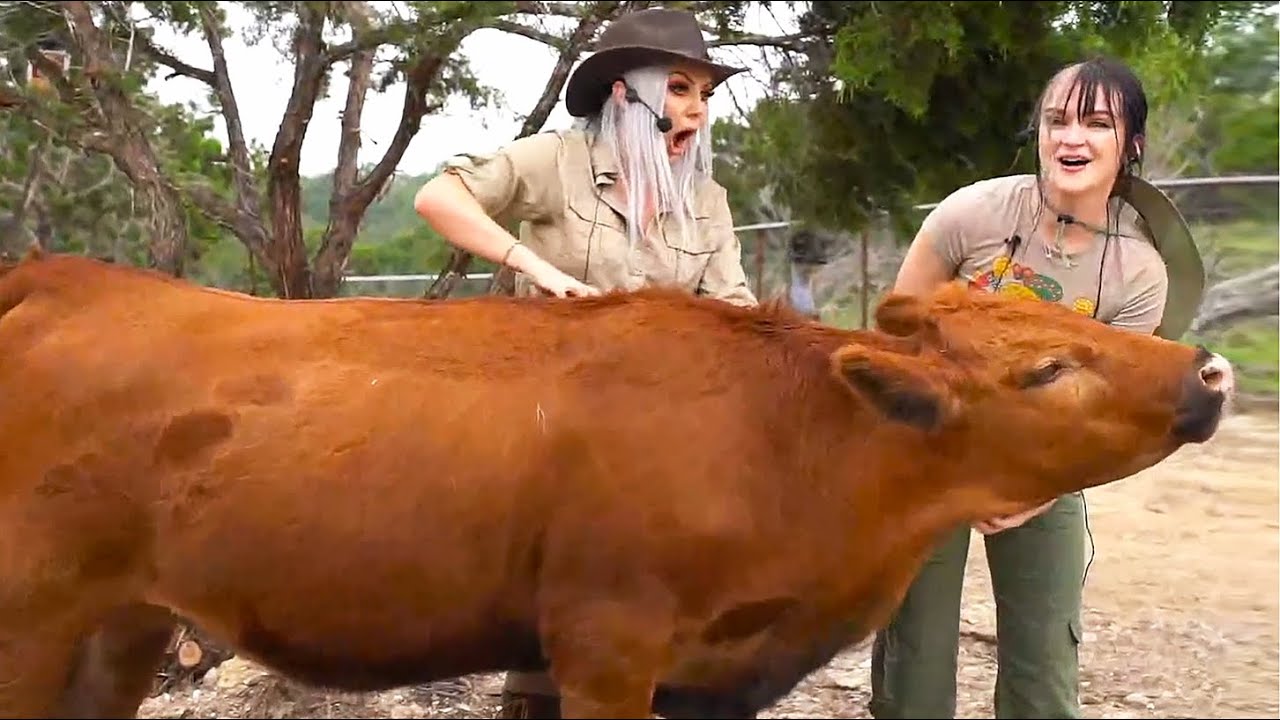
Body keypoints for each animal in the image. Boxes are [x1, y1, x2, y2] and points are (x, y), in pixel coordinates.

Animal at [0, 249, 1232, 719]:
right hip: (33, 618)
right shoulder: (607, 646)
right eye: (1045, 369)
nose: (1209, 373)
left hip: (125, 621)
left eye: (1075, 323)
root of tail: (67, 274)